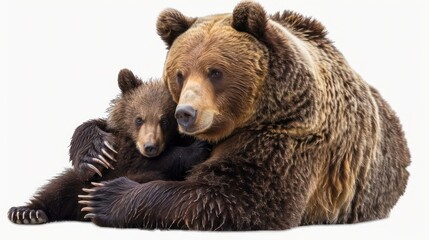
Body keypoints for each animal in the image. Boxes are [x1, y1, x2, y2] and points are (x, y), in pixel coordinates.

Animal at [79, 1, 408, 231]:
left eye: (215, 72)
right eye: (180, 74)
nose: (185, 113)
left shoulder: (287, 141)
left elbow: (236, 197)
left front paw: (104, 197)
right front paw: (95, 150)